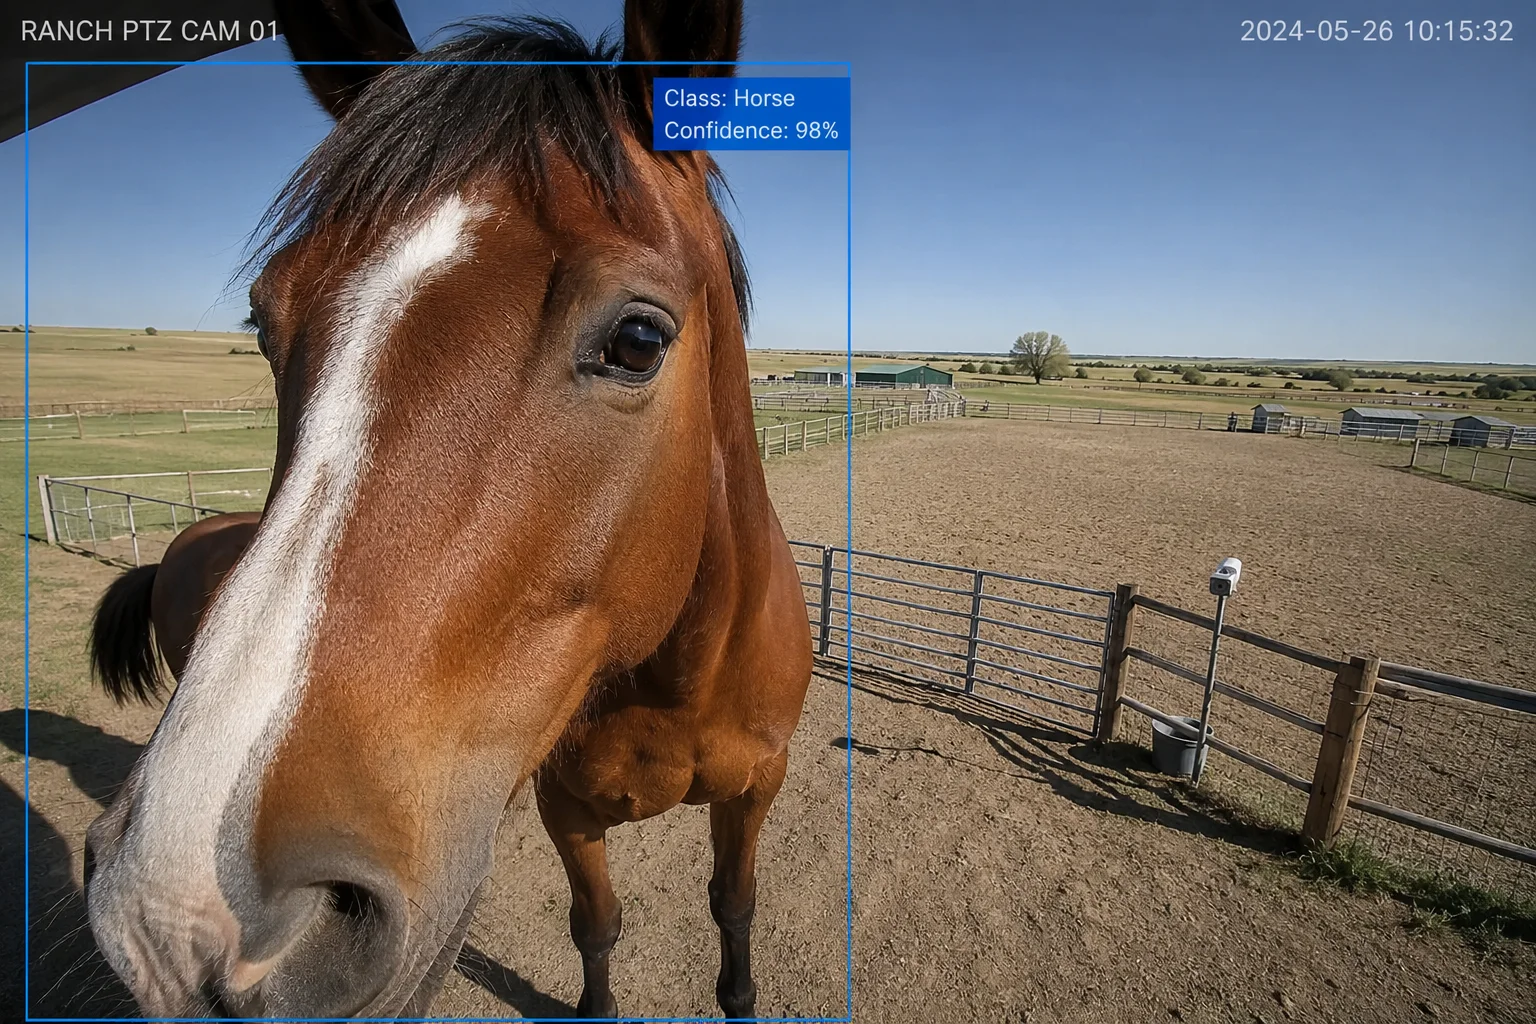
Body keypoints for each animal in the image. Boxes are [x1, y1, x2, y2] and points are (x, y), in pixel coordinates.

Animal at [82, 1, 814, 1018]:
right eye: (266, 324)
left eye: (638, 339)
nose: (169, 922)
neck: (679, 677)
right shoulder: (565, 808)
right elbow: (596, 926)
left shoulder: (757, 790)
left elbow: (734, 908)